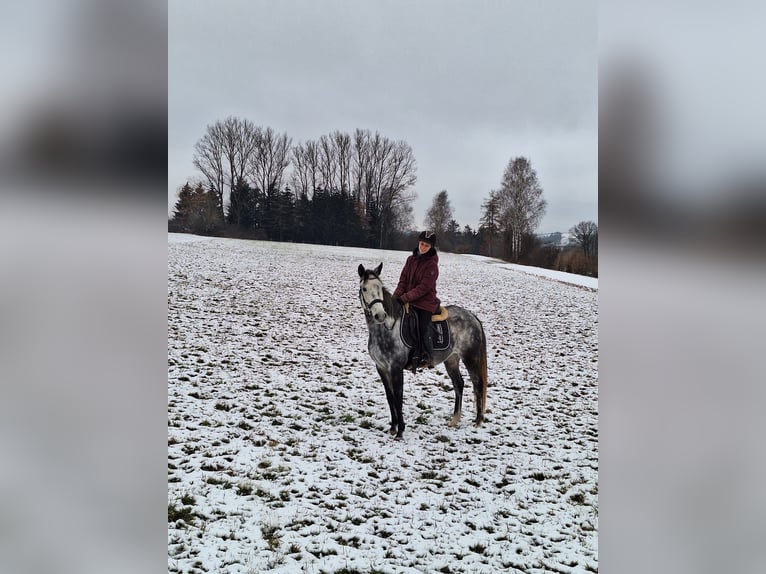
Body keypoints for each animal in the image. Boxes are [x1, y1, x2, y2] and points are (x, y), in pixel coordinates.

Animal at [358, 264, 488, 438]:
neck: (386, 330)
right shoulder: (382, 368)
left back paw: (478, 421)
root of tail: (472, 317)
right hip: (451, 360)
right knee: (458, 384)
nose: (380, 315)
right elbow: (390, 397)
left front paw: (400, 431)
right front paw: (393, 427)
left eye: (379, 287)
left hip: (470, 358)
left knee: (477, 383)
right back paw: (454, 420)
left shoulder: (396, 369)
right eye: (364, 288)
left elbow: (398, 397)